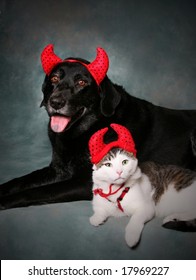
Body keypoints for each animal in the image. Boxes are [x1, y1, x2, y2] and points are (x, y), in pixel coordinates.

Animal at [0, 44, 196, 210]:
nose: (55, 102)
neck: (86, 129)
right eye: (54, 78)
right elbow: (21, 180)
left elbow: (38, 191)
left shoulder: (87, 182)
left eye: (81, 83)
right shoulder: (56, 169)